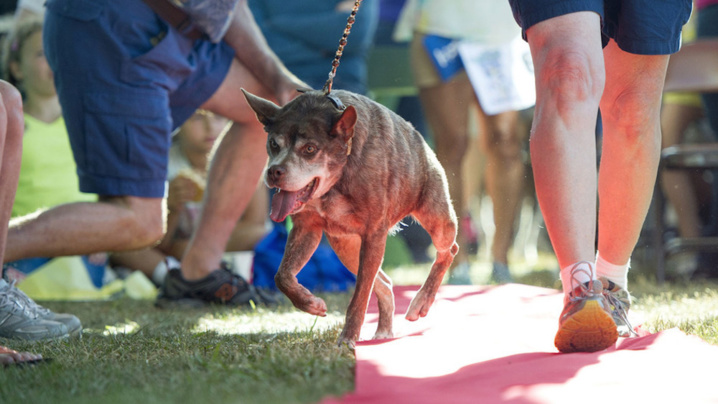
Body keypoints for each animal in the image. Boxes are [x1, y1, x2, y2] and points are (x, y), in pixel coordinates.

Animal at [243, 88, 462, 348]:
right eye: (274, 143)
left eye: (310, 149)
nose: (274, 172)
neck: (338, 176)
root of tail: (421, 141)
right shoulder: (307, 227)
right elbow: (282, 276)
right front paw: (310, 303)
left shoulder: (374, 234)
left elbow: (359, 296)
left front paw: (347, 338)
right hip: (346, 247)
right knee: (384, 283)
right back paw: (384, 330)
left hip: (436, 219)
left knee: (449, 250)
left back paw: (421, 302)